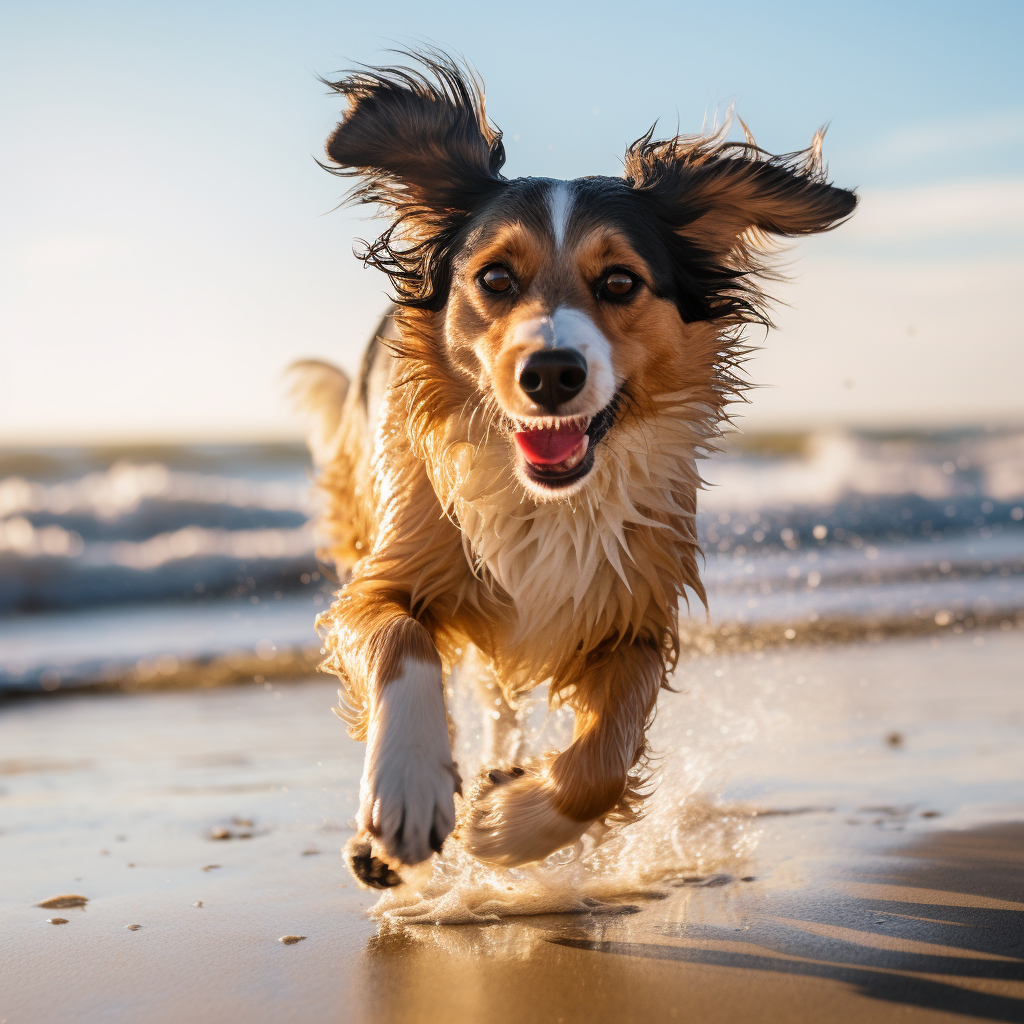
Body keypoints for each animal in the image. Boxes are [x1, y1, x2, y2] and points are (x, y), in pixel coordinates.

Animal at [288, 51, 856, 884]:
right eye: (495, 279)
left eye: (619, 281)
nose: (551, 372)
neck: (547, 503)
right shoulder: (387, 571)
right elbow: (399, 639)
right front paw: (410, 785)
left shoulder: (636, 612)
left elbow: (605, 760)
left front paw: (505, 825)